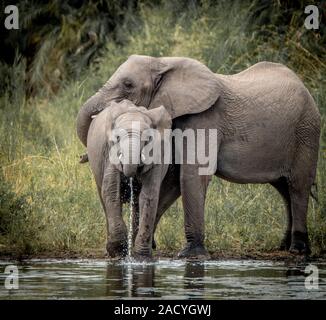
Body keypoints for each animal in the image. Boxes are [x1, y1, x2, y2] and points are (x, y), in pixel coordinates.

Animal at [86, 100, 173, 260]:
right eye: (117, 138)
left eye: (147, 139)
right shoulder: (109, 153)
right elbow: (111, 190)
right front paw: (118, 252)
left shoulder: (158, 155)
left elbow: (148, 196)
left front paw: (141, 257)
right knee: (104, 197)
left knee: (137, 204)